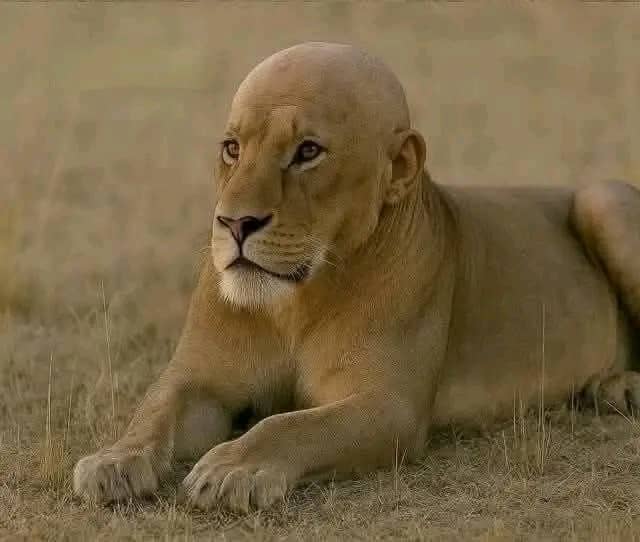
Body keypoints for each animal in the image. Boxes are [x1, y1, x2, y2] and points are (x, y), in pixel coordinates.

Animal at [73, 42, 640, 513]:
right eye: (232, 148)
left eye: (307, 151)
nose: (234, 223)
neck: (295, 302)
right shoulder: (204, 378)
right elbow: (156, 409)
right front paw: (112, 462)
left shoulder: (389, 405)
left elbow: (291, 424)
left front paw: (233, 467)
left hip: (601, 198)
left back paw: (624, 389)